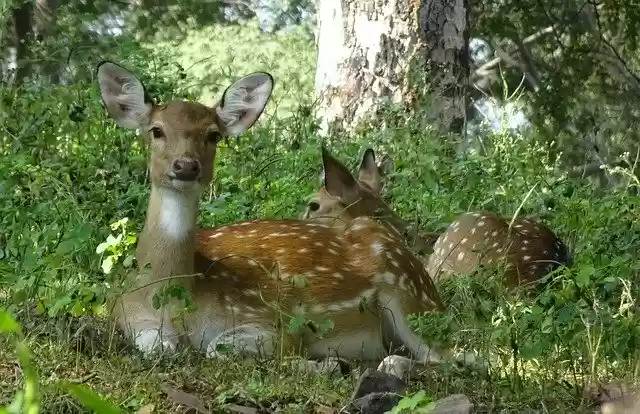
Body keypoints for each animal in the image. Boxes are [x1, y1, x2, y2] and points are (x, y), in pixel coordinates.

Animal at [96, 61, 480, 382]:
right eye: (156, 130)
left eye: (213, 134)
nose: (186, 166)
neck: (174, 298)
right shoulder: (125, 316)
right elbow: (158, 347)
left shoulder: (273, 319)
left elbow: (219, 348)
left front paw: (326, 363)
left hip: (407, 298)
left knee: (465, 356)